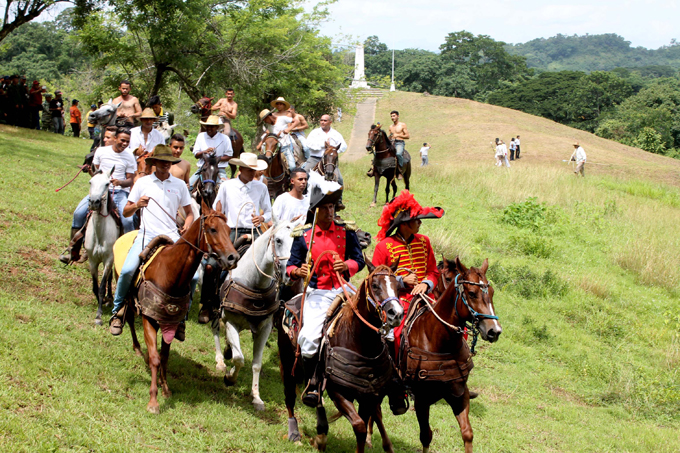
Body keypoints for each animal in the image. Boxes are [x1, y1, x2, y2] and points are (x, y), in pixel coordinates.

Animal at [118, 202, 240, 414]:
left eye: (228, 229)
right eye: (213, 229)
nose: (233, 257)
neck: (169, 273)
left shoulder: (170, 320)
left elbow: (164, 356)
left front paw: (165, 388)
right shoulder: (149, 318)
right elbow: (155, 358)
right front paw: (153, 401)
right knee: (129, 317)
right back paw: (132, 342)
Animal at [210, 217, 300, 412]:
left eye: (297, 242)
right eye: (278, 240)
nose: (290, 274)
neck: (254, 283)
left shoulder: (265, 328)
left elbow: (256, 364)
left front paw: (256, 397)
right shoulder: (231, 323)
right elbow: (239, 358)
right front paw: (230, 378)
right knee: (215, 330)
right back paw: (220, 360)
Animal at [276, 264, 404, 450]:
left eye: (398, 287)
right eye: (375, 286)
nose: (397, 313)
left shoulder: (369, 396)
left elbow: (367, 422)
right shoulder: (338, 393)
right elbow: (359, 425)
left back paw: (321, 431)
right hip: (287, 365)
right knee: (290, 397)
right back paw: (295, 433)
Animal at [402, 256, 502, 450]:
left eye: (492, 292)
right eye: (472, 293)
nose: (494, 331)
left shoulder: (459, 394)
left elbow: (467, 433)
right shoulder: (422, 399)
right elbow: (426, 436)